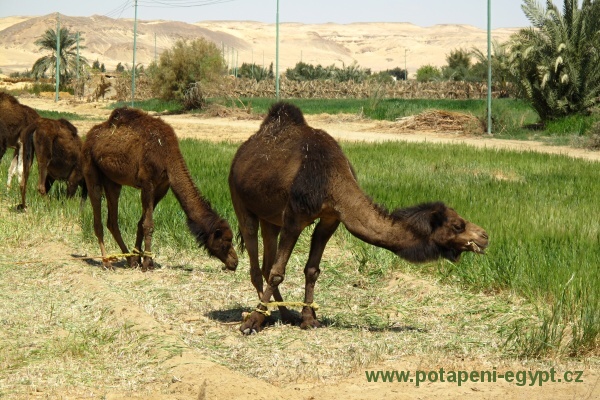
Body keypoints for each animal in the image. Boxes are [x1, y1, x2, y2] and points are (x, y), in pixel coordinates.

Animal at [82, 106, 237, 272]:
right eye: (226, 241)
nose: (235, 262)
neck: (168, 156)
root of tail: (89, 135)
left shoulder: (162, 187)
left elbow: (141, 223)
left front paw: (140, 259)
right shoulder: (147, 184)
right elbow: (148, 224)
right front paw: (147, 263)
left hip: (112, 180)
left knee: (112, 220)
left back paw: (129, 260)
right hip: (90, 169)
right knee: (97, 217)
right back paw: (107, 263)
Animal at [227, 101, 490, 334]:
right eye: (458, 225)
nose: (485, 236)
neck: (331, 179)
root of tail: (241, 152)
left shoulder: (330, 218)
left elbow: (311, 269)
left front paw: (309, 319)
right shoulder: (294, 217)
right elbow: (278, 273)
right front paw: (251, 323)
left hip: (270, 217)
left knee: (265, 262)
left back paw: (283, 314)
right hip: (240, 201)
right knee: (256, 264)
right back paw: (260, 318)